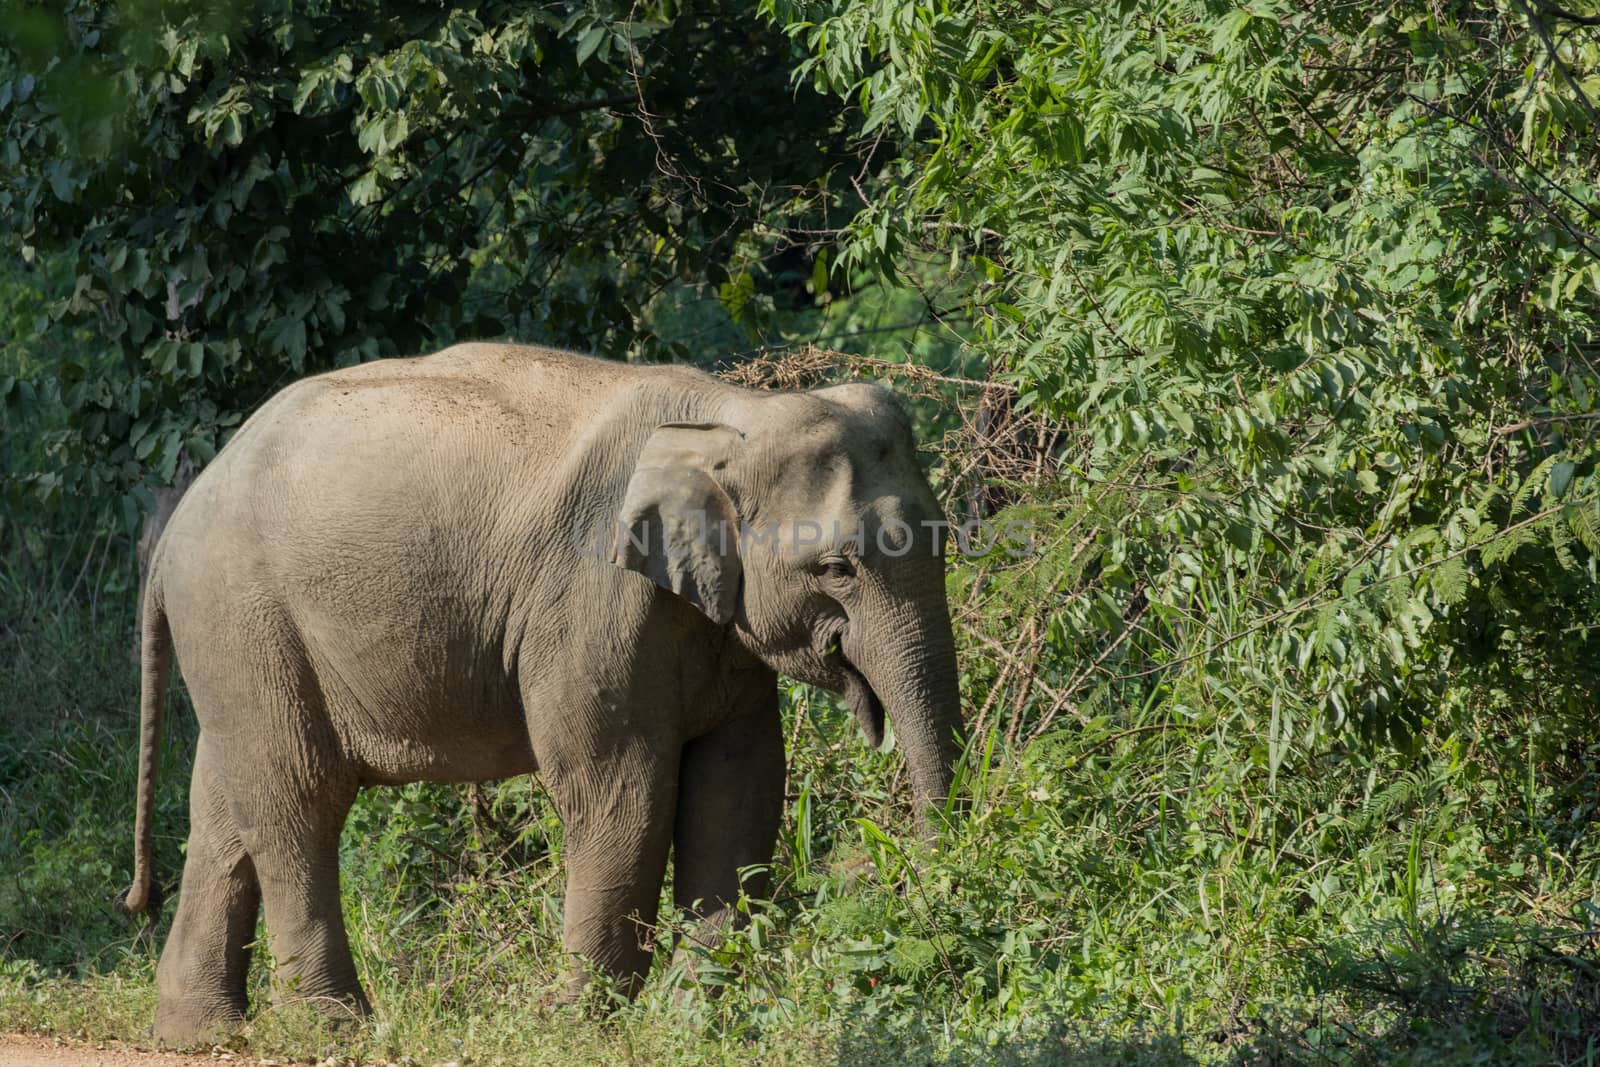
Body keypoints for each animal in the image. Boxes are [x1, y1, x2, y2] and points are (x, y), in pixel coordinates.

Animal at [118, 342, 966, 1043]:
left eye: (947, 537)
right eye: (838, 569)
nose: (920, 888)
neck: (729, 417)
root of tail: (176, 526)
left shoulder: (719, 630)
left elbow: (739, 787)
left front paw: (695, 1019)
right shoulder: (591, 599)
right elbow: (621, 791)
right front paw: (576, 1024)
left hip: (237, 642)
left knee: (227, 803)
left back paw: (200, 1033)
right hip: (244, 613)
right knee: (300, 795)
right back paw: (336, 1029)